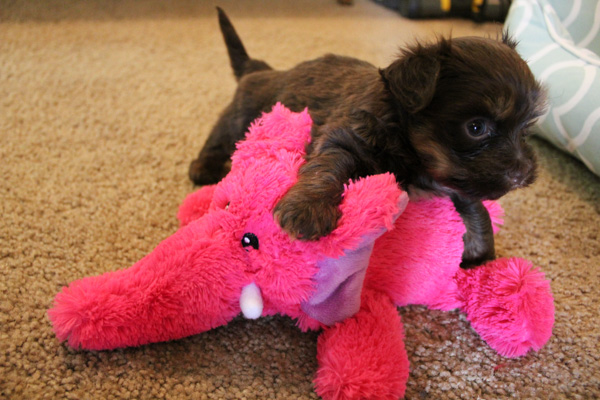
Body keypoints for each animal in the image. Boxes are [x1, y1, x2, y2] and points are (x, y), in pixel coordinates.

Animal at [190, 7, 548, 268]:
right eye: (476, 128)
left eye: (525, 129)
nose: (522, 174)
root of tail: (260, 69)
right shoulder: (346, 139)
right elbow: (328, 169)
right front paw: (308, 209)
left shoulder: (454, 180)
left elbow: (476, 207)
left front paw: (481, 251)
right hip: (240, 117)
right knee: (219, 138)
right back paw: (203, 169)